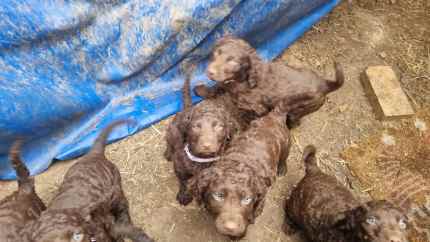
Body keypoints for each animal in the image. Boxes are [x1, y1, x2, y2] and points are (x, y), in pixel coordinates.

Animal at [165, 74, 245, 205]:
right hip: (173, 130)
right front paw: (183, 195)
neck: (201, 161)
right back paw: (167, 153)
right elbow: (182, 181)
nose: (207, 146)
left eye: (219, 126)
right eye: (195, 126)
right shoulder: (179, 167)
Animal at [186, 94, 310, 238]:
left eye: (247, 199)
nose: (230, 228)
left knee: (284, 157)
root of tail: (274, 115)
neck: (237, 163)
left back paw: (282, 169)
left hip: (286, 144)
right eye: (219, 195)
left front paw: (237, 236)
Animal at [193, 36, 344, 126]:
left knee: (295, 120)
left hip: (301, 108)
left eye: (233, 62)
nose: (209, 71)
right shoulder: (226, 84)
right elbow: (217, 86)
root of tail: (324, 83)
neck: (242, 80)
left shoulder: (260, 109)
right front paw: (201, 90)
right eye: (217, 52)